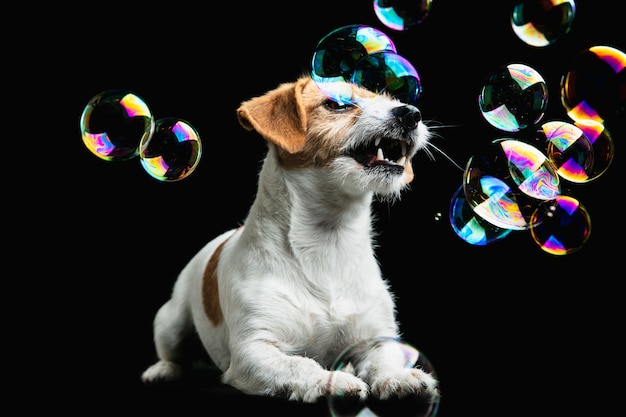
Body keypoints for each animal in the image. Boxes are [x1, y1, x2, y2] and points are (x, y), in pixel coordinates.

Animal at [140, 75, 438, 404]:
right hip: (171, 322)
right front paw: (329, 381)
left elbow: (384, 359)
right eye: (337, 103)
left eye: (389, 98)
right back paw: (162, 370)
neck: (328, 243)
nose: (411, 114)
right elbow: (299, 364)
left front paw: (397, 377)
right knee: (172, 352)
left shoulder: (376, 338)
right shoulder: (253, 351)